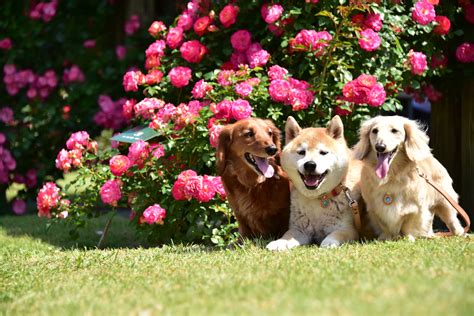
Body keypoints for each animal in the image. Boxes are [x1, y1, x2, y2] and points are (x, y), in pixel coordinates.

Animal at [264, 115, 362, 251]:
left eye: (323, 152)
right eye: (301, 152)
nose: (310, 164)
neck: (318, 199)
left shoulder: (348, 229)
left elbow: (337, 234)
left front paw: (329, 242)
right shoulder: (299, 229)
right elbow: (287, 236)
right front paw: (279, 242)